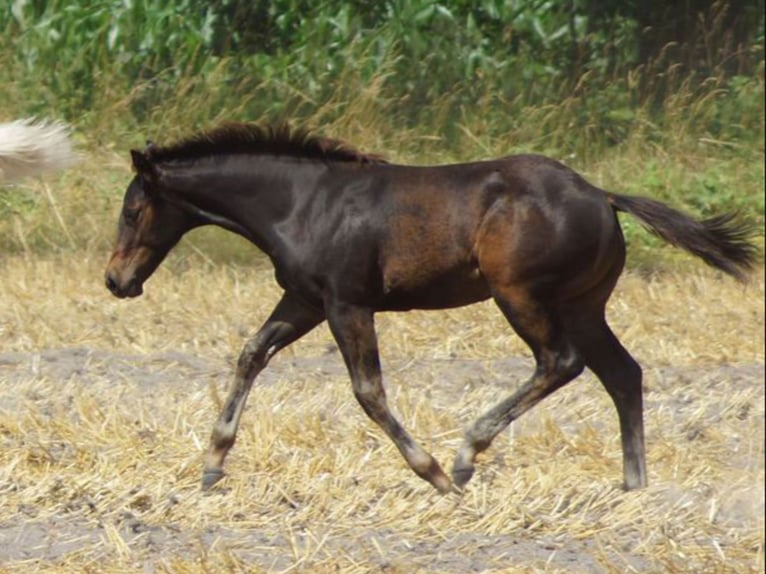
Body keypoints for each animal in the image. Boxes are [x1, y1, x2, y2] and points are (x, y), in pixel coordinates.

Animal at [104, 122, 757, 494]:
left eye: (133, 211)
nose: (116, 280)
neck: (302, 202)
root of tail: (602, 195)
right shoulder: (305, 299)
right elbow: (251, 354)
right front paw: (212, 464)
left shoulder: (347, 303)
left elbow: (368, 391)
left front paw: (434, 474)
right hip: (583, 305)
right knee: (622, 373)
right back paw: (634, 487)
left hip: (521, 296)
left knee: (561, 362)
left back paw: (467, 454)